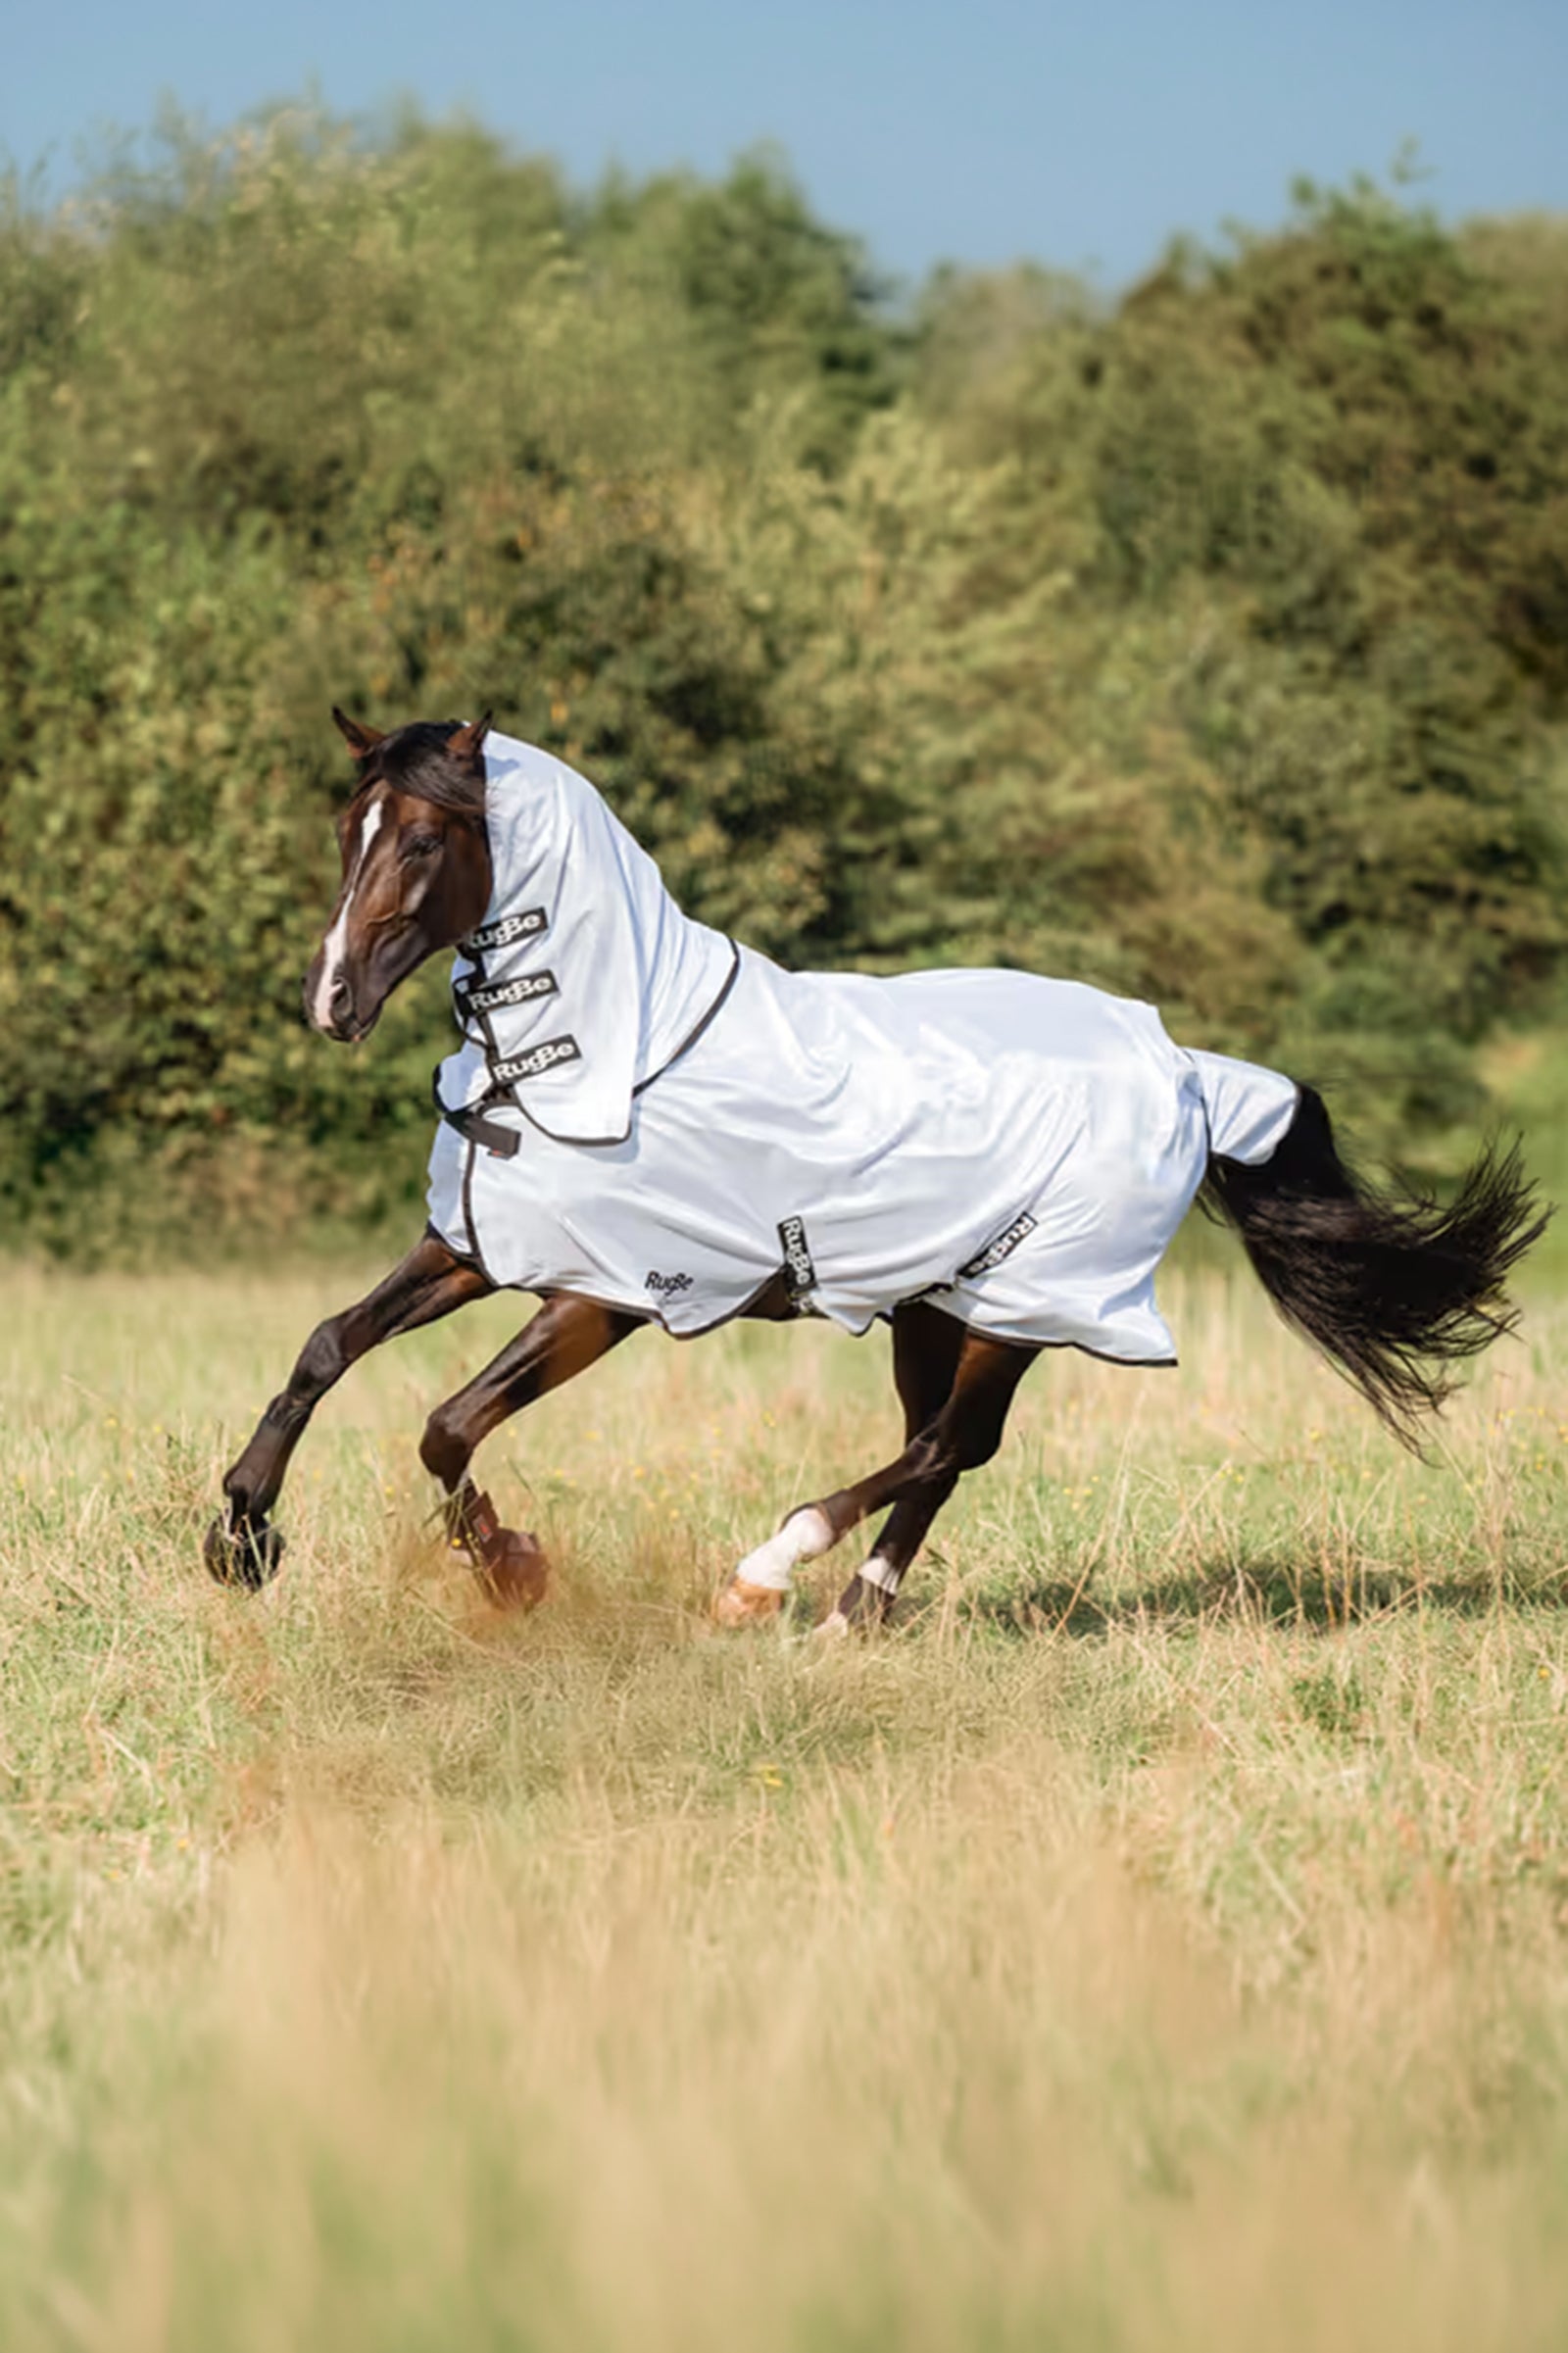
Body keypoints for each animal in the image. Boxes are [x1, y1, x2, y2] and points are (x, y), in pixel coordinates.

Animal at [206, 711, 1546, 1631]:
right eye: (348, 832)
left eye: (426, 837)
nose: (332, 1000)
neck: (608, 1050)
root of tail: (1184, 1066)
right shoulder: (478, 1244)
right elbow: (326, 1346)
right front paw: (241, 1535)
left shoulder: (609, 1296)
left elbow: (446, 1425)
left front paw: (509, 1565)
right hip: (932, 1305)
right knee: (940, 1453)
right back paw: (851, 1618)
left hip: (1021, 1309)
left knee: (949, 1445)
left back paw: (766, 1575)